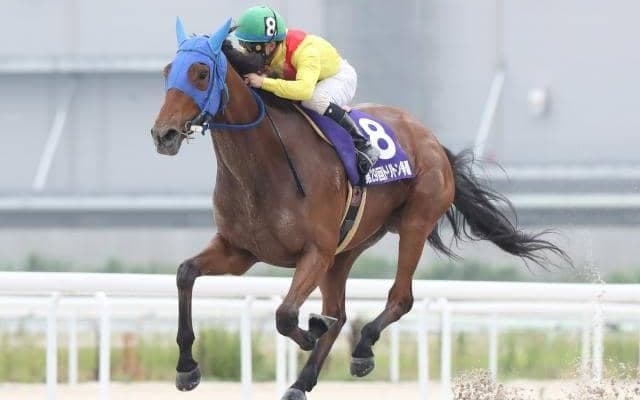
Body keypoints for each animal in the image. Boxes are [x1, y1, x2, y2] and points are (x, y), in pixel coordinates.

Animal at [150, 18, 570, 400]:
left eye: (201, 72)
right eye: (168, 71)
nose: (162, 134)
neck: (263, 165)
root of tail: (431, 140)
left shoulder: (315, 252)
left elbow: (285, 315)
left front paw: (309, 331)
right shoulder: (240, 251)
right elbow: (185, 273)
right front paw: (187, 368)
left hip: (414, 223)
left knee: (399, 298)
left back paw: (362, 348)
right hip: (347, 249)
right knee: (340, 313)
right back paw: (301, 382)